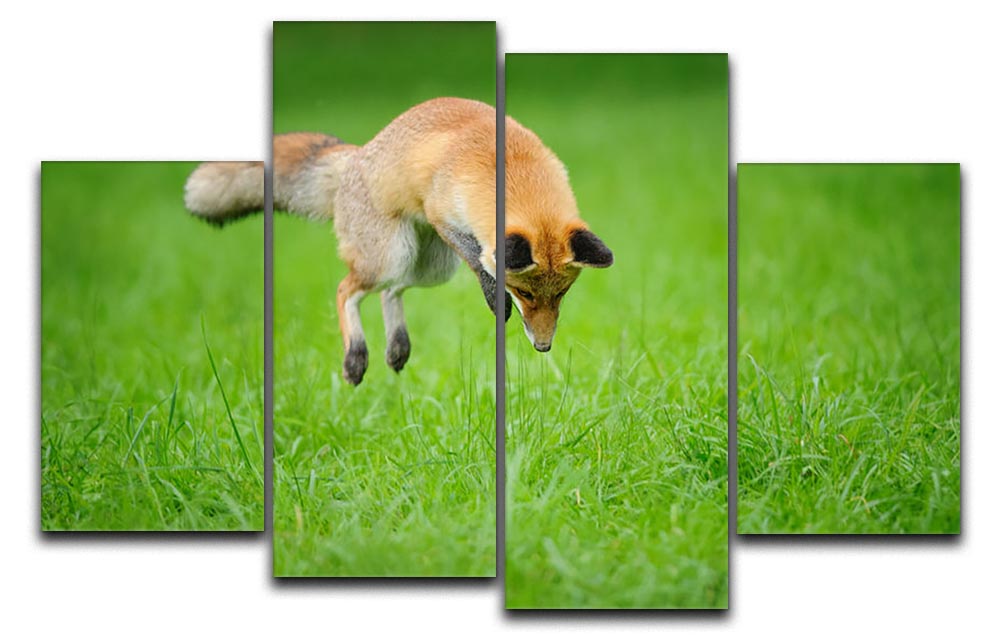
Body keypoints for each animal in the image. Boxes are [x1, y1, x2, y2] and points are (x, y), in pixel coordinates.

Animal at [184, 97, 612, 385]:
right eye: (524, 294)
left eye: (561, 295)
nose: (543, 348)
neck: (514, 170)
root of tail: (357, 155)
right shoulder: (443, 214)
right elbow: (479, 260)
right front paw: (495, 299)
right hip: (391, 255)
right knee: (346, 290)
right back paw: (356, 357)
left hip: (429, 267)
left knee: (391, 292)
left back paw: (397, 348)